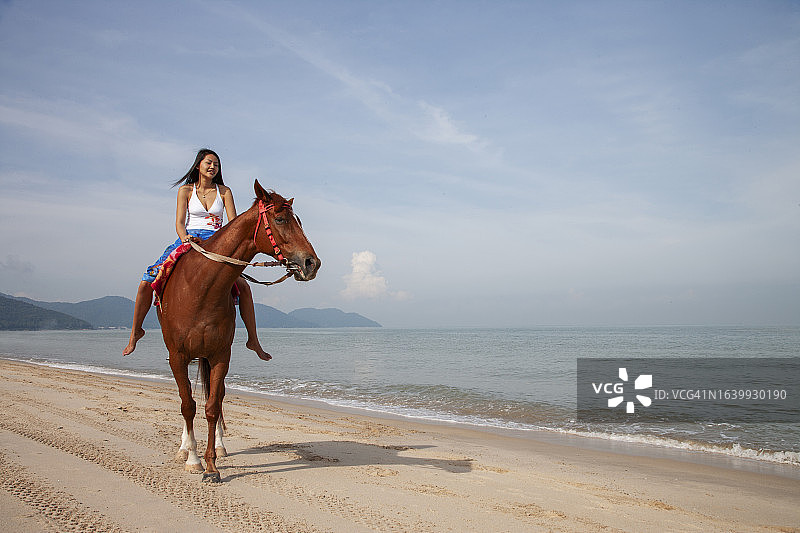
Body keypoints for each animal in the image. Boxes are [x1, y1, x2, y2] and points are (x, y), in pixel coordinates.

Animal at [157, 180, 320, 482]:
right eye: (281, 219)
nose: (312, 263)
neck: (200, 288)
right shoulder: (178, 356)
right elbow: (187, 405)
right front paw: (193, 459)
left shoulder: (221, 355)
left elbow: (212, 407)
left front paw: (211, 466)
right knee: (188, 401)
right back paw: (185, 449)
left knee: (216, 398)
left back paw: (220, 447)